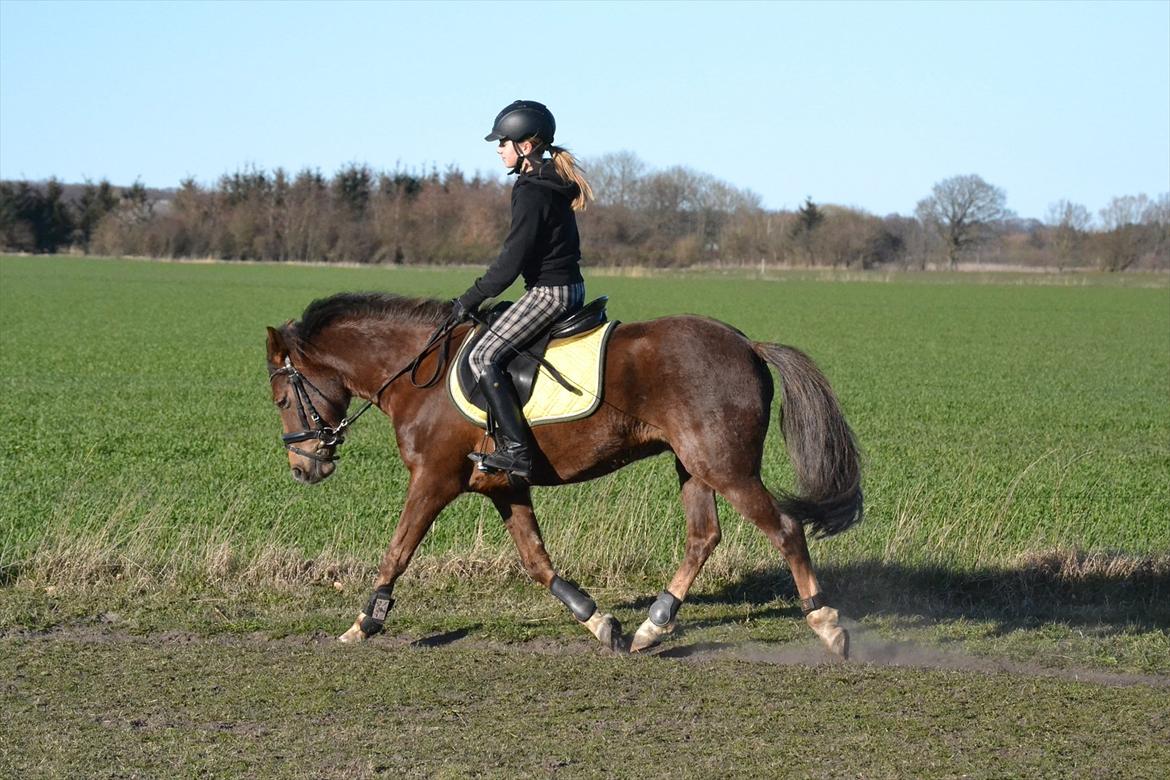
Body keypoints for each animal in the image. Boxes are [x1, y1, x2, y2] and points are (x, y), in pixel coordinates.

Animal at [267, 292, 870, 659]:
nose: (303, 467)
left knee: (785, 530)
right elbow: (536, 560)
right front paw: (598, 621)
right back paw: (652, 625)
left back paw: (827, 624)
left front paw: (364, 622)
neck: (420, 376)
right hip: (695, 466)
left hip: (725, 466)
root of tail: (746, 344)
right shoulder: (503, 485)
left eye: (280, 399)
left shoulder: (434, 480)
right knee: (704, 537)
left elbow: (397, 550)